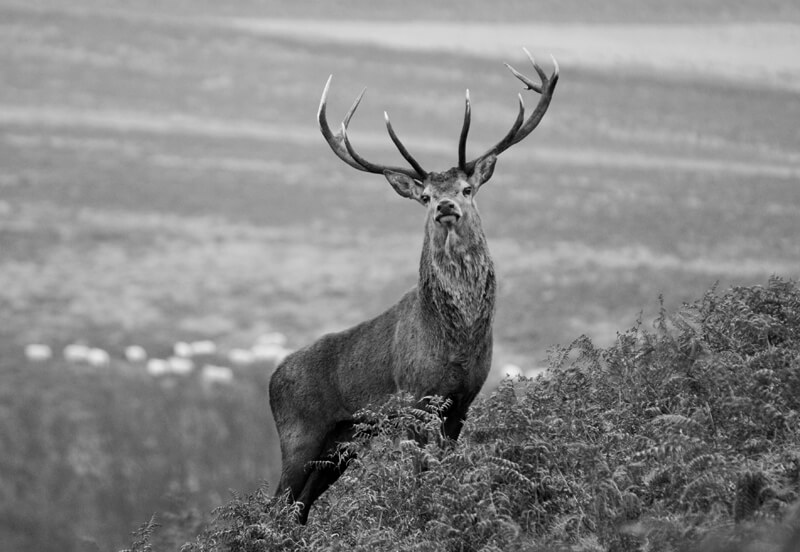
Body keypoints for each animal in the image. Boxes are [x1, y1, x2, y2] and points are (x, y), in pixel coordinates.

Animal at [269, 49, 558, 524]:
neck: (456, 342)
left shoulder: (463, 400)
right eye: (424, 196)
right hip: (299, 434)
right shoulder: (412, 400)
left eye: (467, 187)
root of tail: (271, 379)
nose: (445, 206)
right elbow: (422, 471)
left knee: (299, 508)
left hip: (341, 443)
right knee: (273, 507)